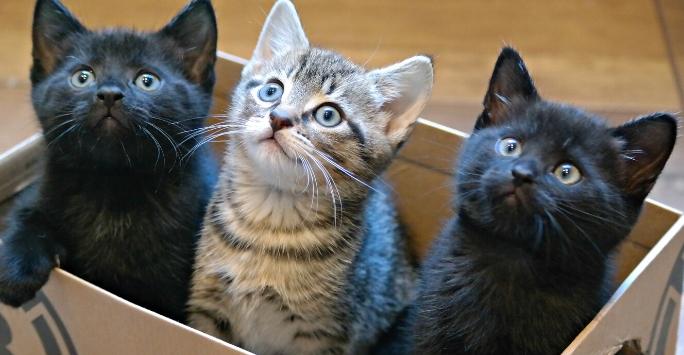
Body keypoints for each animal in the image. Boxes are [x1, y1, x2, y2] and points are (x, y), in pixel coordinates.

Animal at [0, 0, 216, 324]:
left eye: (147, 80)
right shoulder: (39, 192)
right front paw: (15, 271)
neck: (113, 184)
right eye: (82, 76)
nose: (110, 94)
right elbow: (24, 217)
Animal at [187, 1, 432, 354]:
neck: (268, 227)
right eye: (271, 90)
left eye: (328, 115)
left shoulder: (324, 337)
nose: (278, 118)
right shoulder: (206, 306)